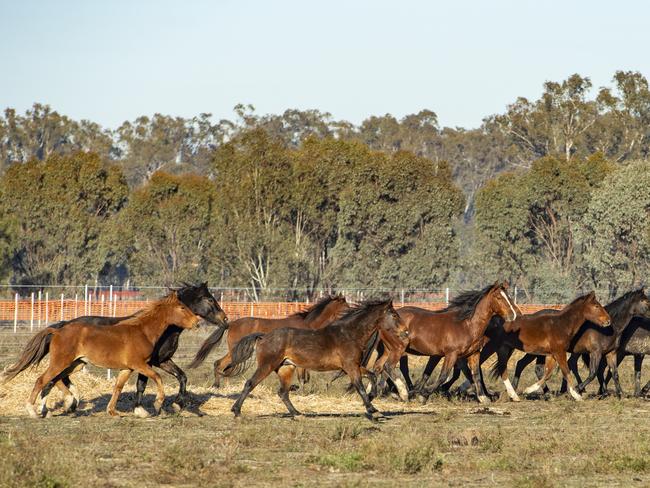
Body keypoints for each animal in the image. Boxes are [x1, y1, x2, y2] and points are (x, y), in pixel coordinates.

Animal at [2, 282, 227, 416]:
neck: (144, 330)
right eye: (209, 299)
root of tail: (58, 329)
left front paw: (113, 411)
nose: (225, 319)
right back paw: (35, 410)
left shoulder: (129, 367)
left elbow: (119, 387)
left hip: (76, 363)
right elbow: (154, 380)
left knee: (56, 380)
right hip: (62, 361)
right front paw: (156, 405)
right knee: (43, 380)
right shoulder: (145, 364)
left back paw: (66, 404)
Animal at [187, 296, 350, 386]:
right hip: (238, 351)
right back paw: (219, 386)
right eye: (345, 307)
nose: (350, 314)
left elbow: (304, 377)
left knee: (223, 366)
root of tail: (230, 323)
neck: (308, 324)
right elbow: (302, 377)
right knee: (222, 365)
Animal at [227, 300, 404, 422]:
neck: (349, 334)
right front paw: (373, 410)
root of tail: (263, 337)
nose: (405, 332)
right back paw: (237, 412)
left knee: (283, 392)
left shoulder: (353, 366)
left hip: (286, 368)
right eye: (394, 315)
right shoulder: (350, 367)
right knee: (251, 383)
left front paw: (373, 401)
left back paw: (298, 414)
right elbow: (359, 386)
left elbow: (372, 376)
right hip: (267, 365)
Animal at [512, 290, 648, 396]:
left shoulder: (611, 353)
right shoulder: (596, 353)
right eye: (645, 301)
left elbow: (614, 373)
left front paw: (619, 394)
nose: (607, 321)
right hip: (536, 351)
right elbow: (593, 373)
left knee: (531, 367)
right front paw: (578, 389)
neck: (609, 329)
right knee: (528, 366)